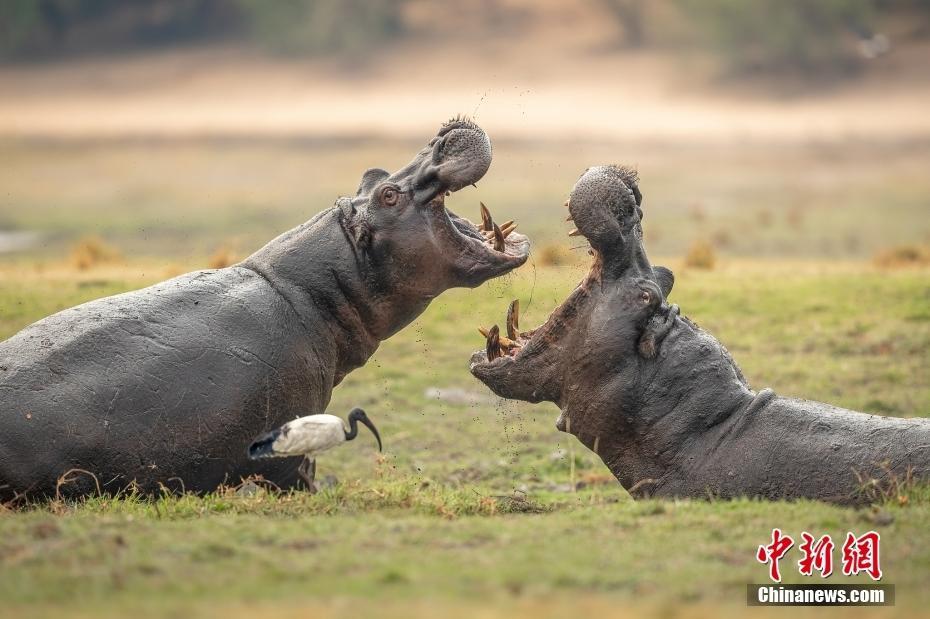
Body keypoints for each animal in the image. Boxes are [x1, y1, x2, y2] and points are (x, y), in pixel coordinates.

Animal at [0, 117, 528, 504]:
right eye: (388, 193)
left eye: (373, 175)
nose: (439, 140)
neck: (308, 290)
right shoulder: (289, 441)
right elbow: (301, 475)